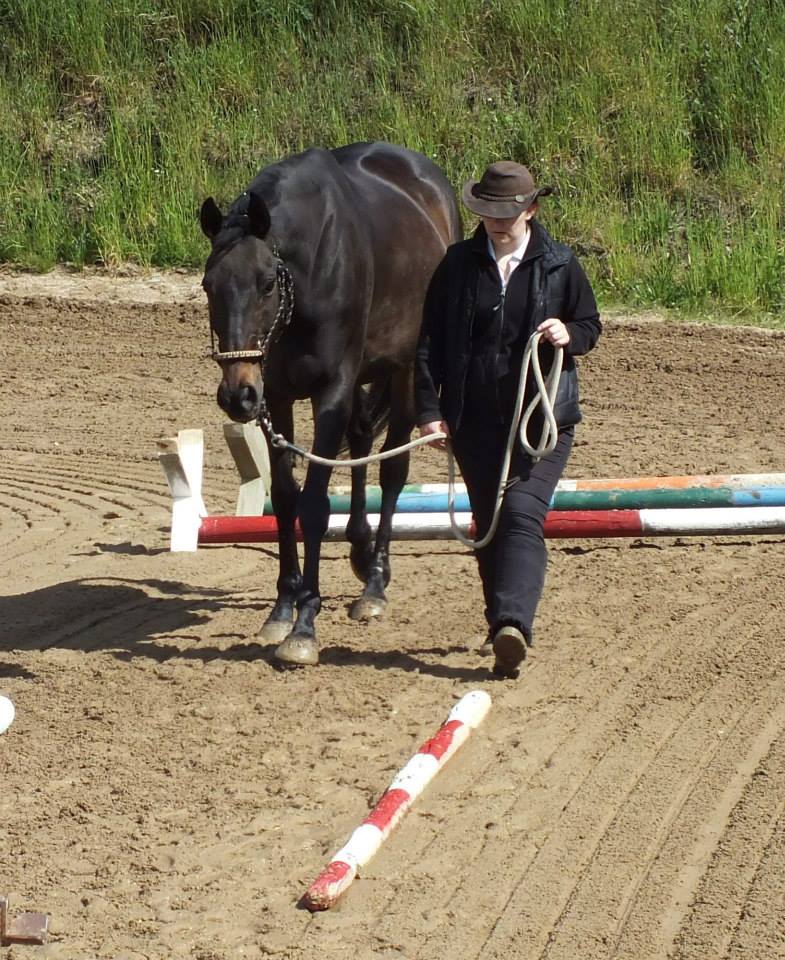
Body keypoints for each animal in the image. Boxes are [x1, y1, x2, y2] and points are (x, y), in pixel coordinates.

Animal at [199, 141, 462, 668]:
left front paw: (305, 625)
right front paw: (283, 605)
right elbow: (285, 499)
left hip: (405, 370)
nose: (237, 394)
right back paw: (360, 550)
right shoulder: (277, 394)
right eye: (208, 285)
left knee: (392, 470)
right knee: (360, 442)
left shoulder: (332, 390)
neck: (307, 276)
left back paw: (375, 581)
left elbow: (316, 505)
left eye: (266, 283)